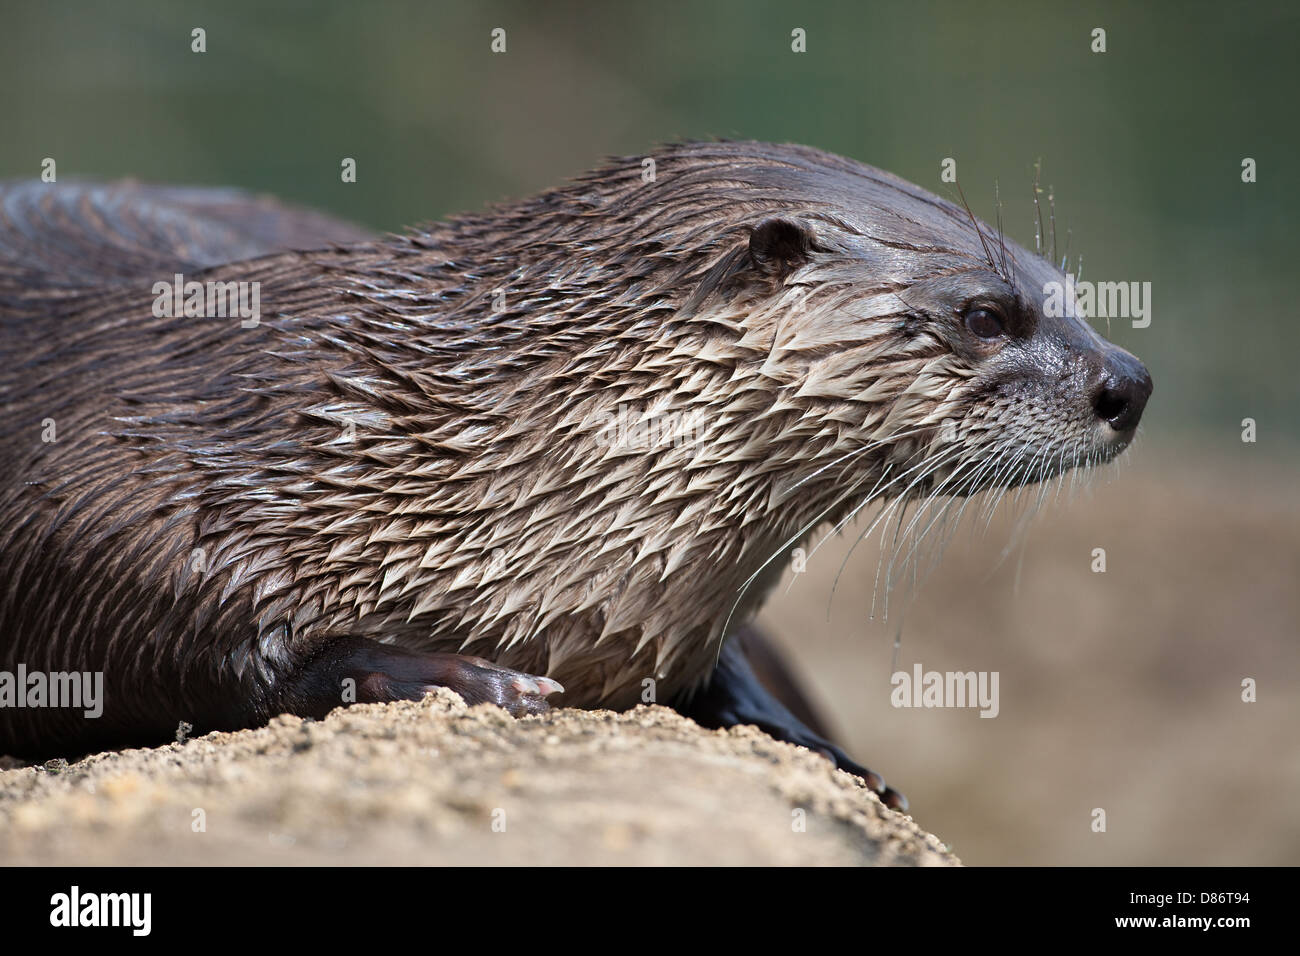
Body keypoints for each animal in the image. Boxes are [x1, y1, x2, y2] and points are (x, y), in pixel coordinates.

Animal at [0, 143, 1150, 809]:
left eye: (1064, 289)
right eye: (985, 314)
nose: (1129, 383)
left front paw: (816, 742)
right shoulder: (108, 487)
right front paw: (448, 674)